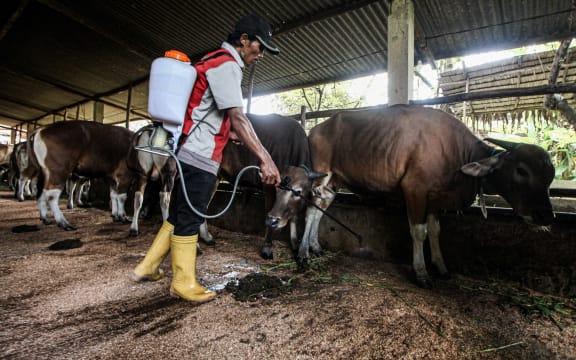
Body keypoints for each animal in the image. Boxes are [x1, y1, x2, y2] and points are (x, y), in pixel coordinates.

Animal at [268, 104, 556, 286]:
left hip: (334, 181)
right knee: (311, 209)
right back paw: (303, 254)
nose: (545, 215)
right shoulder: (414, 189)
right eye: (521, 170)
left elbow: (436, 230)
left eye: (550, 175)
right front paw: (421, 272)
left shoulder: (435, 197)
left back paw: (315, 247)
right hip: (321, 173)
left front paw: (440, 266)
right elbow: (419, 232)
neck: (456, 153)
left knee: (321, 208)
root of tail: (316, 129)